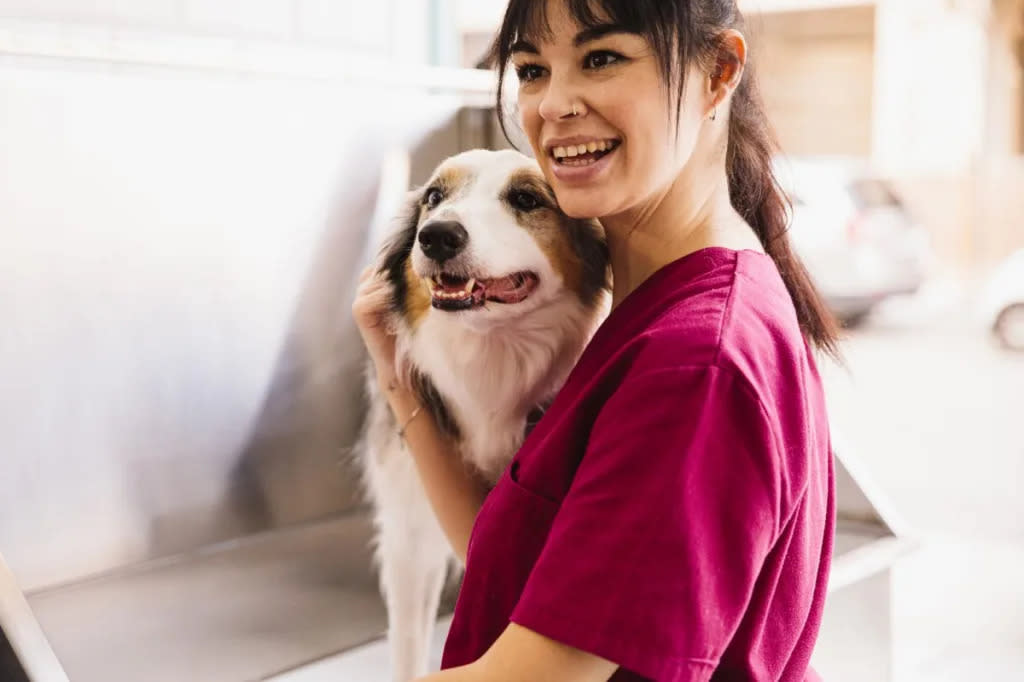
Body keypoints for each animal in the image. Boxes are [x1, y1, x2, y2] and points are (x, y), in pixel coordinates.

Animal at [358, 150, 606, 679]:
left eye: (527, 199)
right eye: (434, 196)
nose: (437, 236)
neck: (487, 355)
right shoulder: (409, 536)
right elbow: (408, 646)